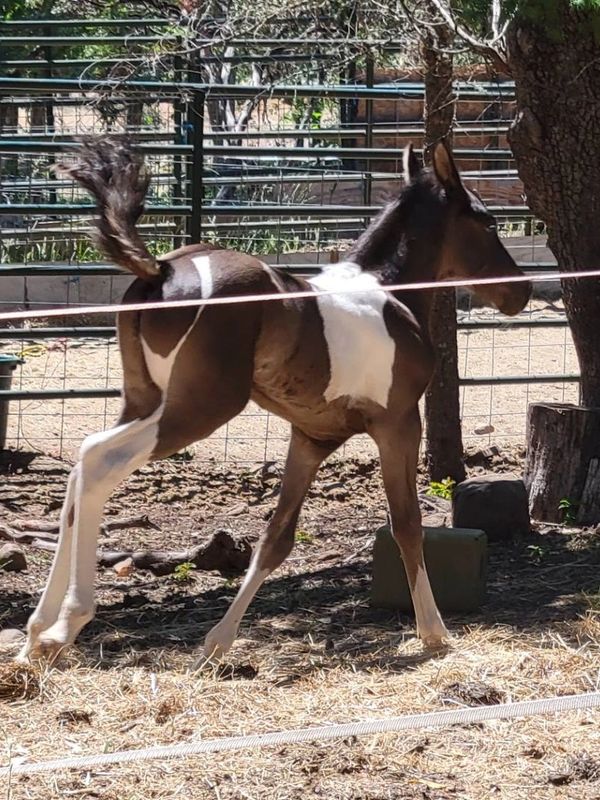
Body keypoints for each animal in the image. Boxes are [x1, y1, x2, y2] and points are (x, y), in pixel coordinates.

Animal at [17, 137, 531, 664]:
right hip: (197, 408)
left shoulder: (310, 438)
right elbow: (407, 524)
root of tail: (159, 267)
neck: (390, 292)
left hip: (142, 400)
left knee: (81, 466)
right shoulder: (399, 424)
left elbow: (275, 537)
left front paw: (217, 642)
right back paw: (65, 625)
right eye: (488, 222)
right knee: (100, 460)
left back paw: (36, 631)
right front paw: (434, 631)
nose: (522, 290)